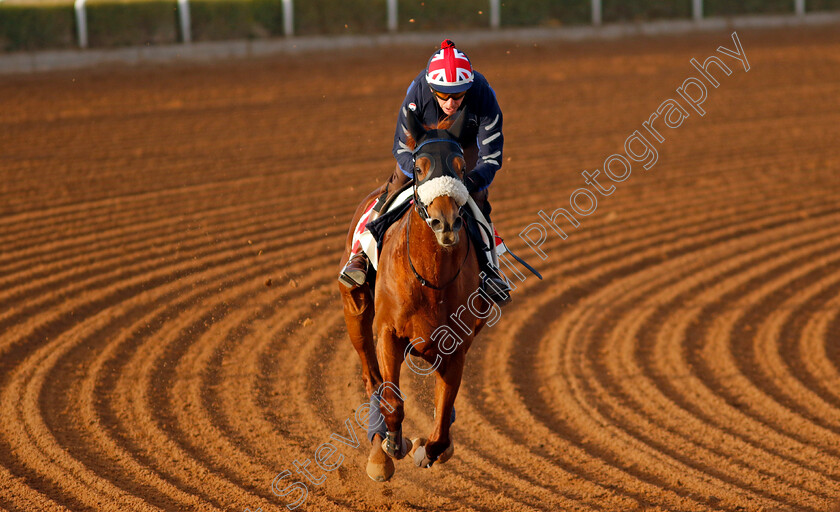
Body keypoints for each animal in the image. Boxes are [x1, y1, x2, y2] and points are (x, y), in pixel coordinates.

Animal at [338, 110, 488, 482]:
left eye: (461, 166)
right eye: (420, 168)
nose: (445, 223)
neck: (431, 279)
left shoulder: (456, 346)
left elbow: (444, 414)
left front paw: (429, 447)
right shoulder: (388, 334)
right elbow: (392, 400)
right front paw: (393, 446)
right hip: (355, 313)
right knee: (372, 380)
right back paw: (380, 450)